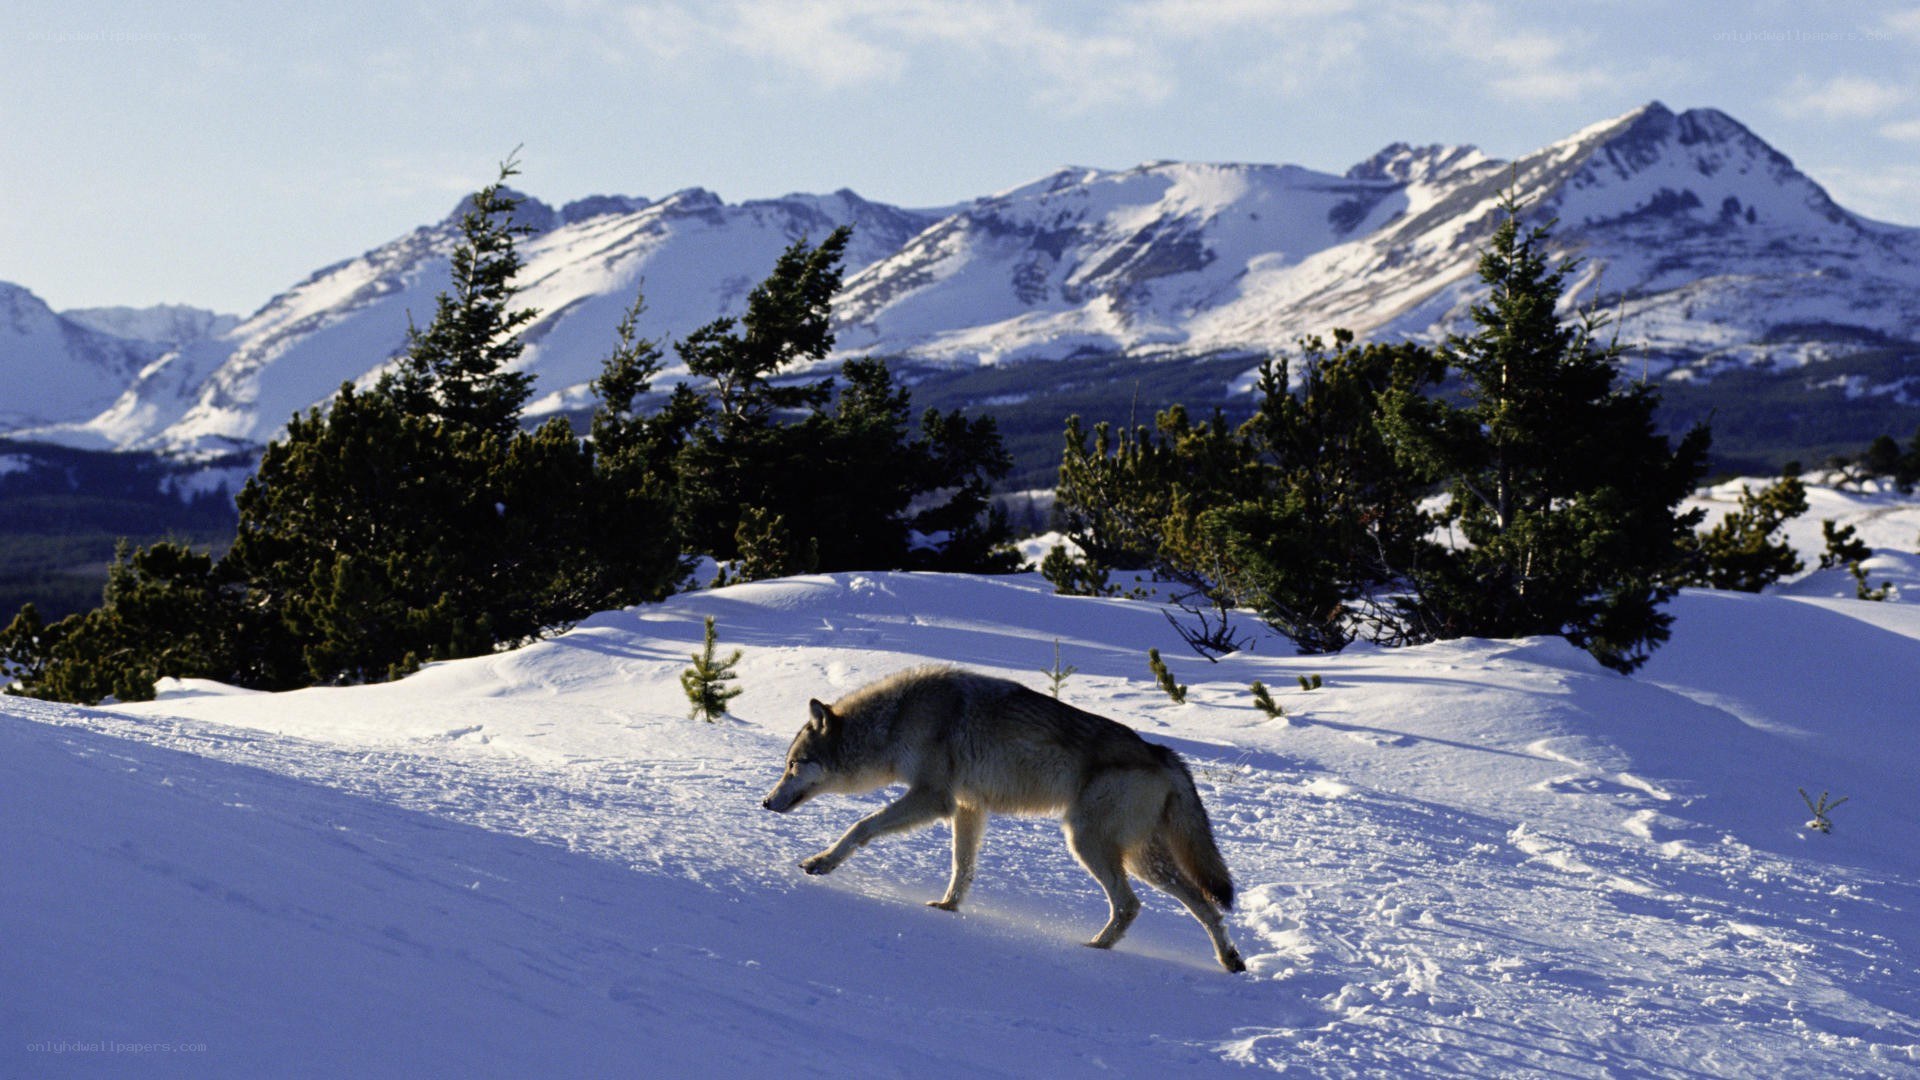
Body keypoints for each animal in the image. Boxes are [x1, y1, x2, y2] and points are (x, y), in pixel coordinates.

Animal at [761, 666, 1246, 973]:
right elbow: (962, 866)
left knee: (1131, 905)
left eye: (793, 765)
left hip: (1090, 845)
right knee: (1204, 904)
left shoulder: (932, 798)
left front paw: (821, 863)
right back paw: (1230, 961)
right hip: (1142, 861)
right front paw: (948, 908)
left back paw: (1094, 949)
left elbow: (860, 826)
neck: (897, 719)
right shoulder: (966, 808)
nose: (766, 803)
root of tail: (1163, 754)